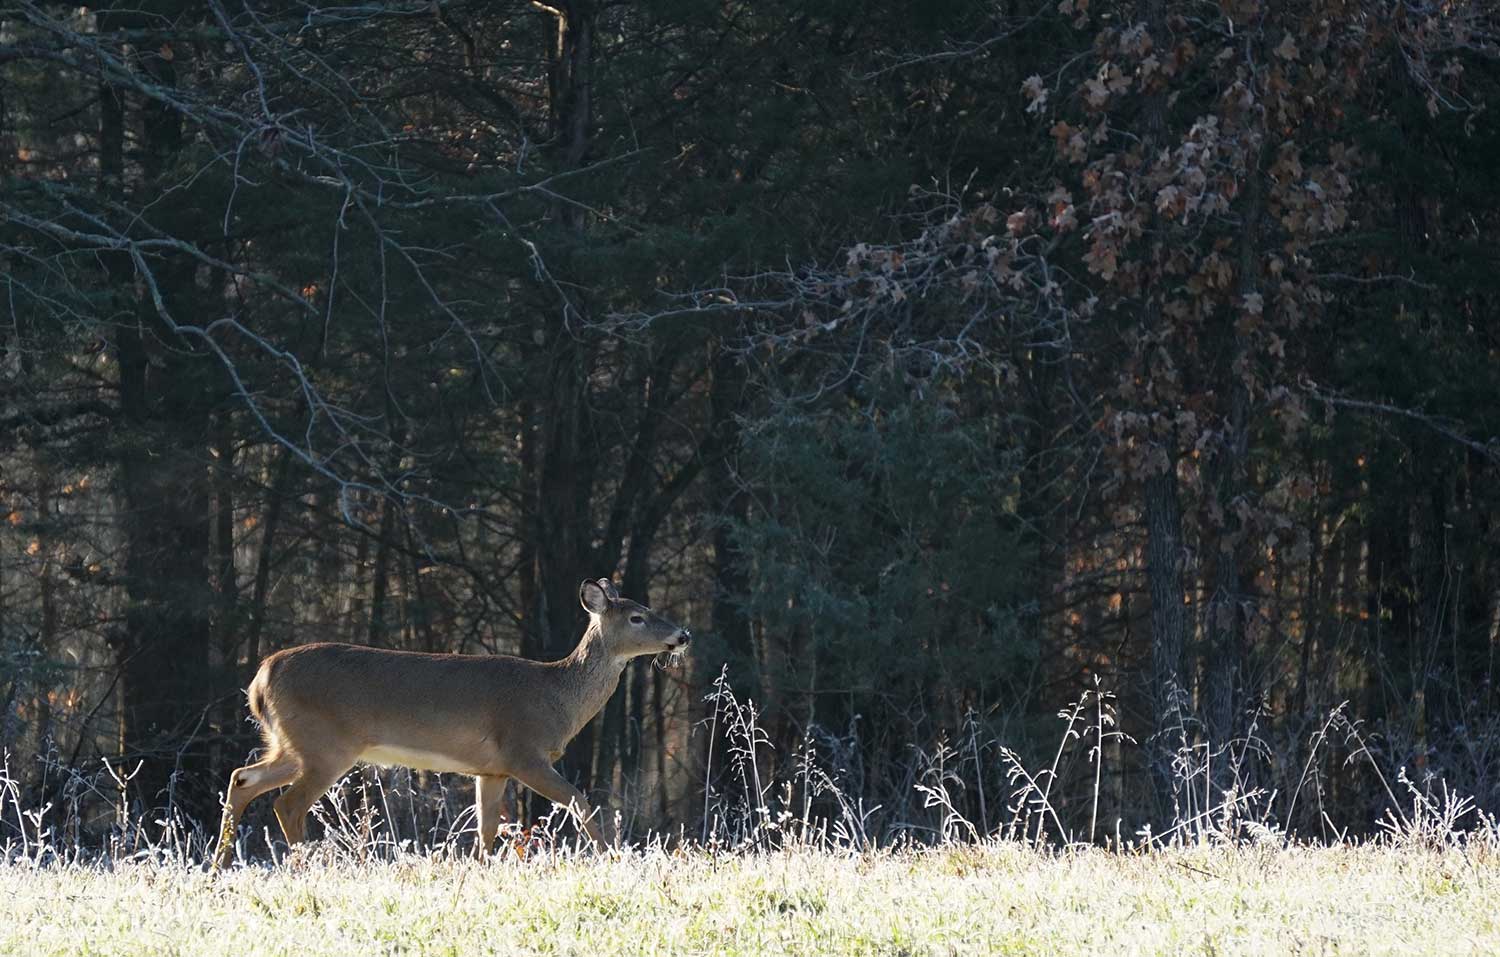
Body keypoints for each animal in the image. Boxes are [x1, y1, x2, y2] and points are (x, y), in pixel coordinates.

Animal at [213, 576, 690, 870]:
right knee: (287, 803)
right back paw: (308, 867)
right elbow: (580, 801)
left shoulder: (491, 769)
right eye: (637, 617)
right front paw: (613, 859)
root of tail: (260, 678)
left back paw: (219, 865)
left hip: (292, 744)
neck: (558, 697)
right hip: (325, 745)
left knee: (242, 777)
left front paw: (480, 870)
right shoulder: (524, 752)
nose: (683, 635)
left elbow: (487, 829)